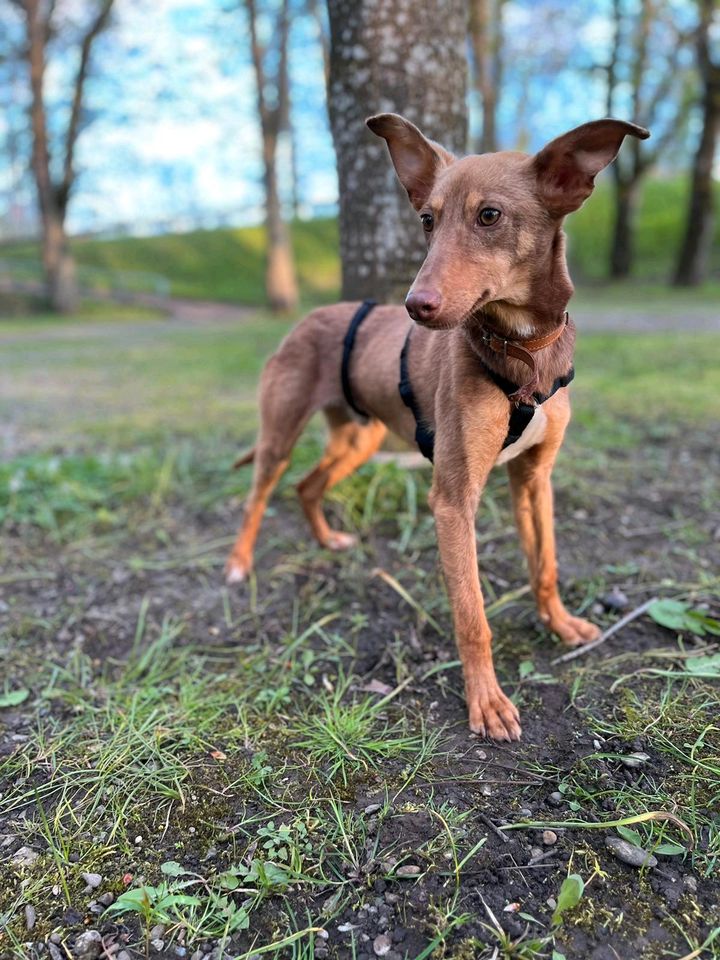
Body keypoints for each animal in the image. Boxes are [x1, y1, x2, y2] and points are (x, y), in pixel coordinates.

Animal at [228, 114, 648, 744]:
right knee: (258, 496)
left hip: (360, 439)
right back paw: (238, 563)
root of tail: (308, 317)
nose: (415, 305)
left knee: (307, 485)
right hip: (280, 435)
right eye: (427, 219)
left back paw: (327, 540)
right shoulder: (452, 499)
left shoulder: (534, 479)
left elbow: (545, 565)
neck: (523, 353)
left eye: (490, 215)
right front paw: (487, 703)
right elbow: (472, 615)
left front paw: (560, 624)